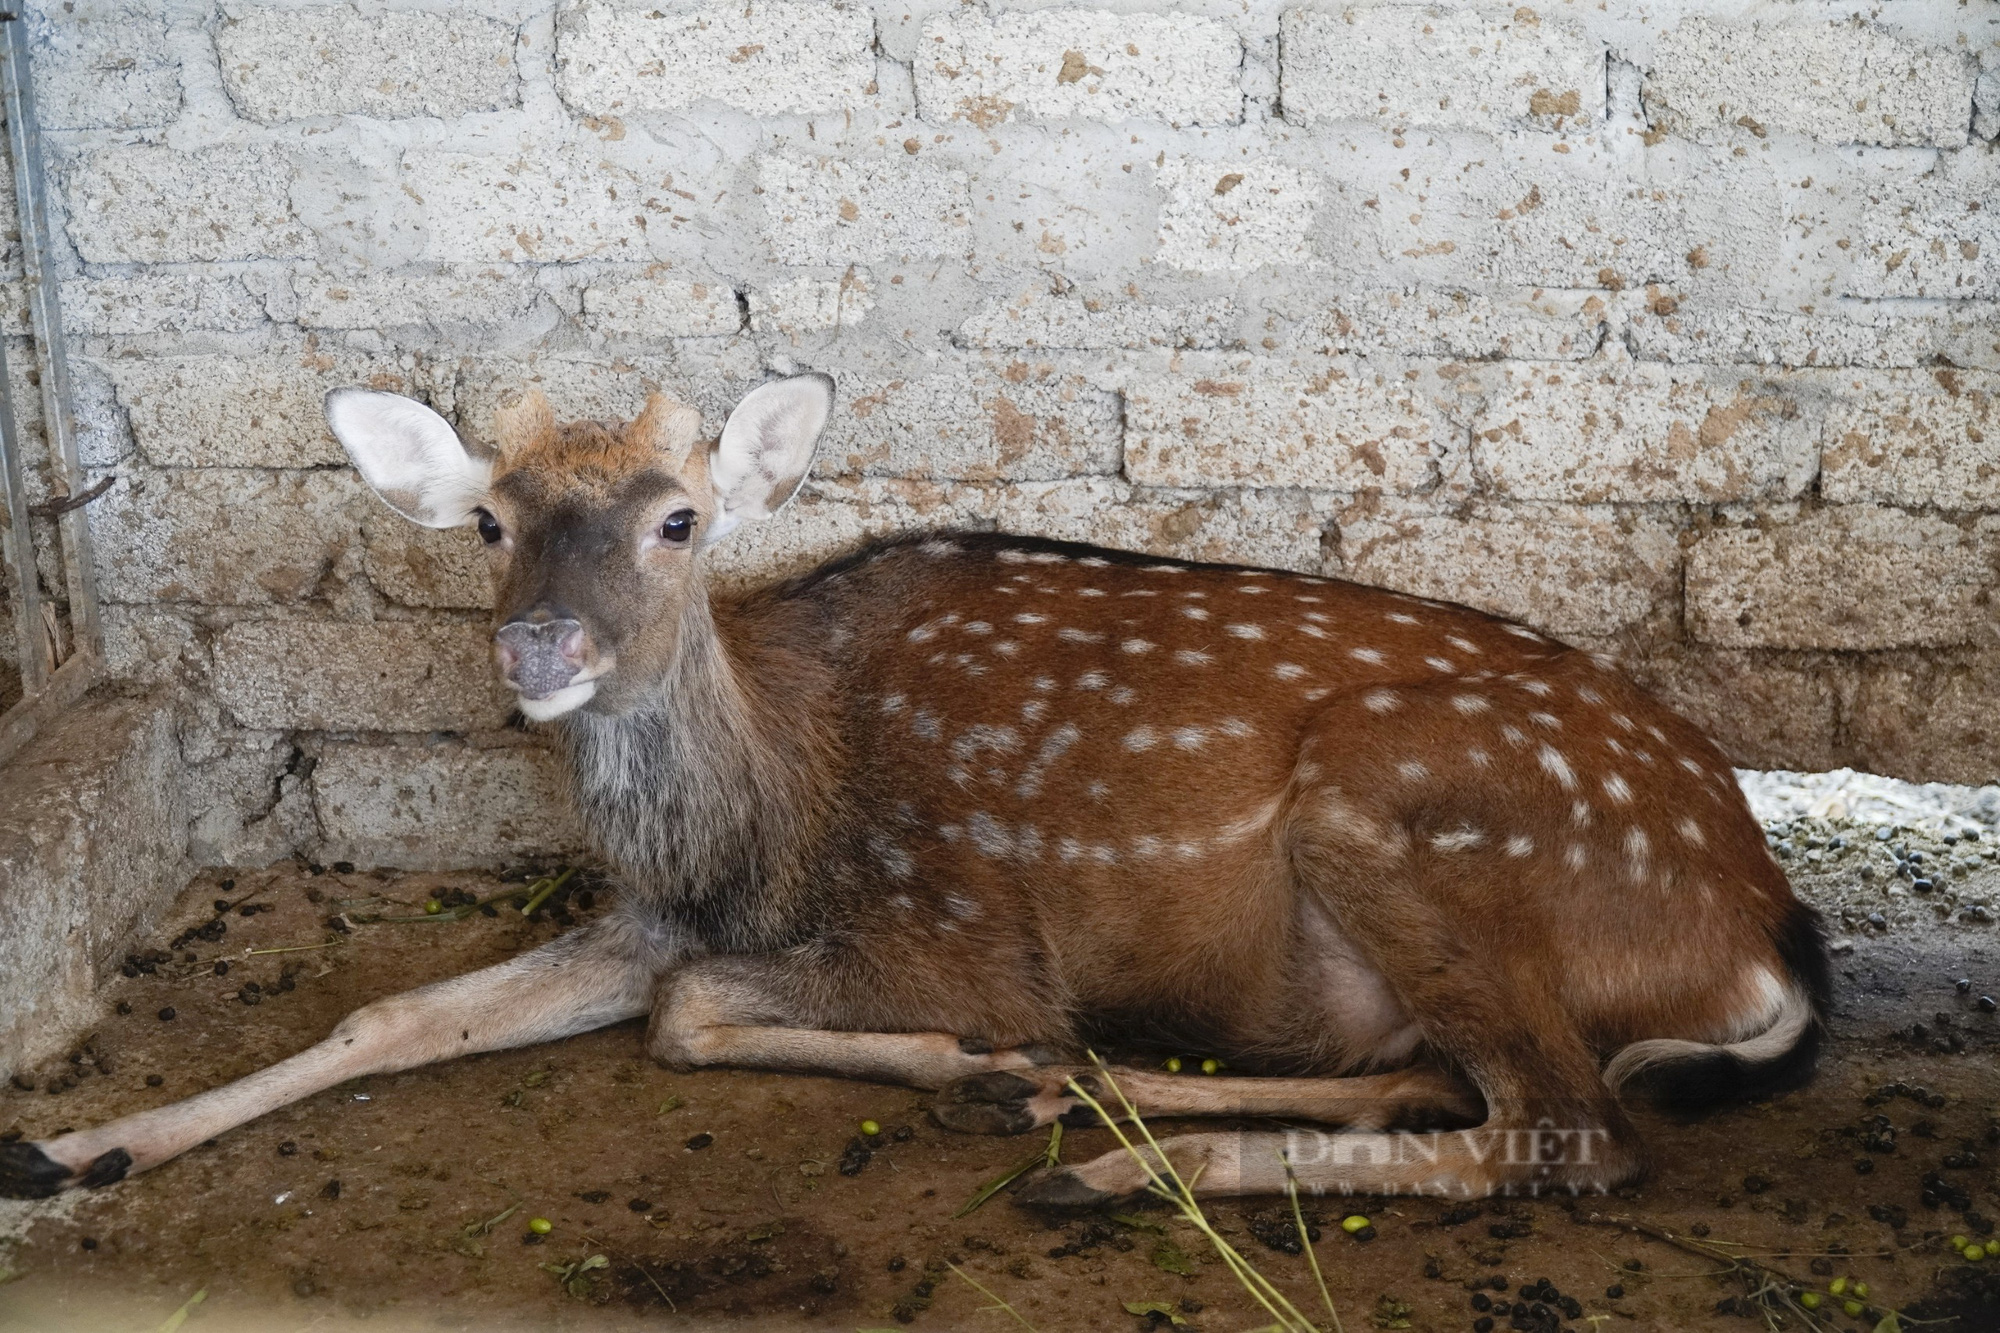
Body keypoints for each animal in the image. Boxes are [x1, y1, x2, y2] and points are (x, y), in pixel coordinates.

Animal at [0, 376, 1832, 1200]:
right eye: (489, 519)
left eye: (680, 518)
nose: (537, 646)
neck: (775, 812)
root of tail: (1766, 935)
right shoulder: (664, 908)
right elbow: (397, 1016)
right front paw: (76, 1144)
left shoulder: (957, 927)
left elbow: (691, 1016)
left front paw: (972, 1061)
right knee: (1453, 1085)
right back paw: (1107, 1106)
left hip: (1411, 809)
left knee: (1568, 1130)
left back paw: (1101, 1158)